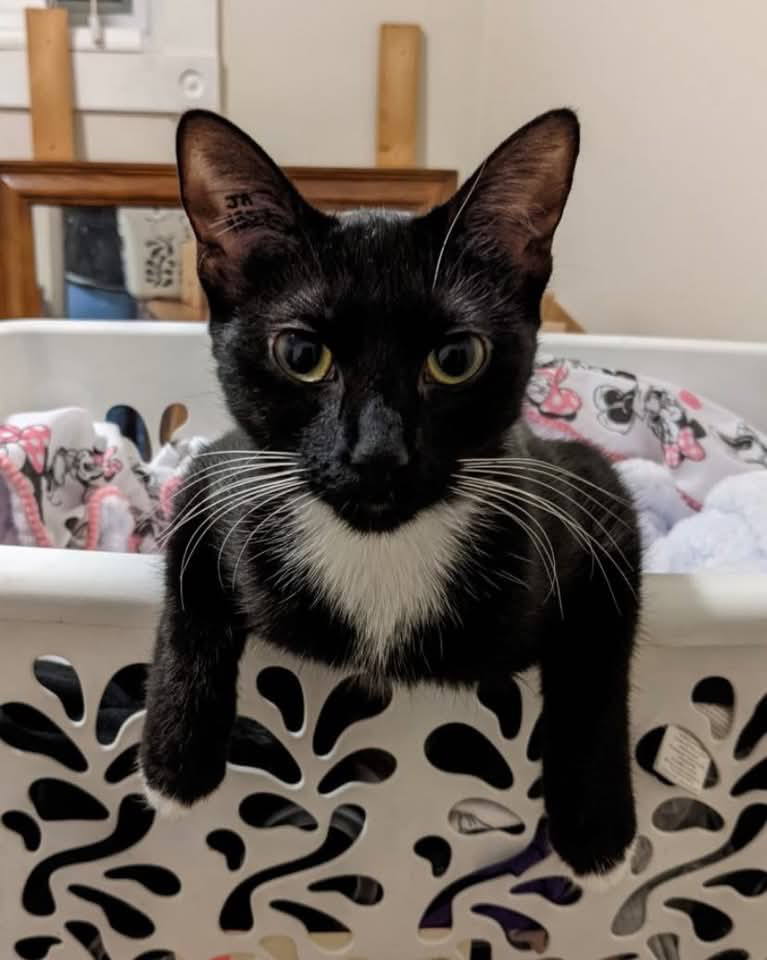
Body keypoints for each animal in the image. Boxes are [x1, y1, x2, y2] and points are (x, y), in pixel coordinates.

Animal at [140, 107, 641, 885]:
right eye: (302, 355)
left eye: (456, 358)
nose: (377, 454)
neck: (380, 548)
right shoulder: (226, 467)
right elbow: (187, 579)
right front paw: (174, 760)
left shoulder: (588, 492)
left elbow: (594, 659)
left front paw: (597, 832)